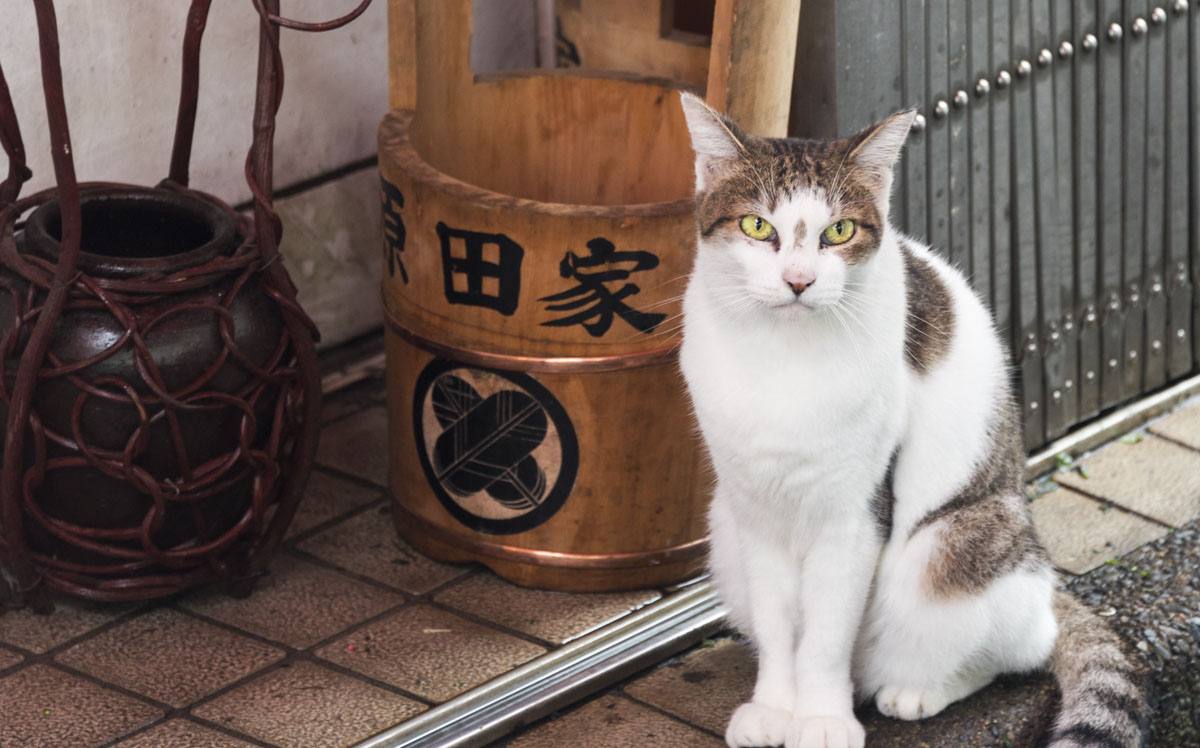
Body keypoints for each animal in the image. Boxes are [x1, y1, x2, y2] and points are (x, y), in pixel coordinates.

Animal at [676, 94, 1142, 748]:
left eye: (839, 231)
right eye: (757, 226)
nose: (798, 281)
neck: (782, 355)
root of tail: (1049, 585)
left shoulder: (856, 512)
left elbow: (824, 634)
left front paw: (821, 720)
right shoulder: (755, 507)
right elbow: (777, 625)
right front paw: (774, 708)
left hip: (956, 541)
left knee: (1016, 645)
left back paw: (914, 690)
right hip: (722, 532)